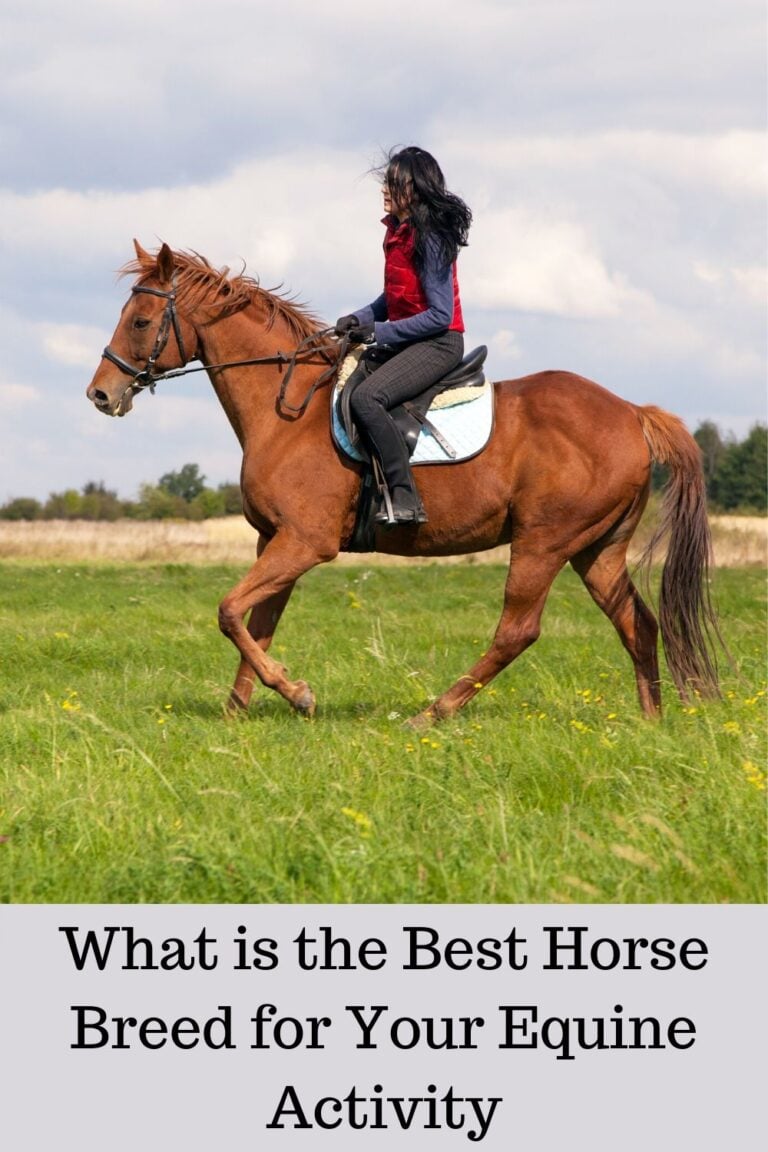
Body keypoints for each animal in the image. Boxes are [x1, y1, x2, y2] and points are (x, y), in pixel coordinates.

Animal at [86, 241, 721, 727]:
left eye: (140, 322)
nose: (100, 394)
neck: (286, 411)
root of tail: (633, 413)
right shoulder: (274, 540)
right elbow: (255, 622)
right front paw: (238, 712)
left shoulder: (305, 543)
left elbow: (227, 610)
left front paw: (296, 693)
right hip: (598, 549)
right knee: (637, 623)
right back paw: (649, 723)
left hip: (543, 543)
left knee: (518, 631)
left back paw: (432, 713)